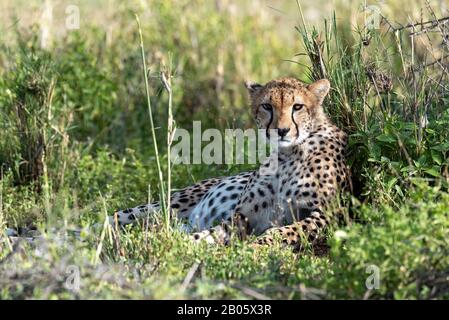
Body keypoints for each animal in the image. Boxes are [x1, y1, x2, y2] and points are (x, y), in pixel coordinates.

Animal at [108, 76, 350, 249]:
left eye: (297, 107)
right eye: (267, 106)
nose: (281, 130)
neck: (287, 154)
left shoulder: (329, 214)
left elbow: (284, 231)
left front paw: (256, 247)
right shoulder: (241, 217)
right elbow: (209, 234)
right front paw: (173, 244)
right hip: (168, 205)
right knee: (118, 216)